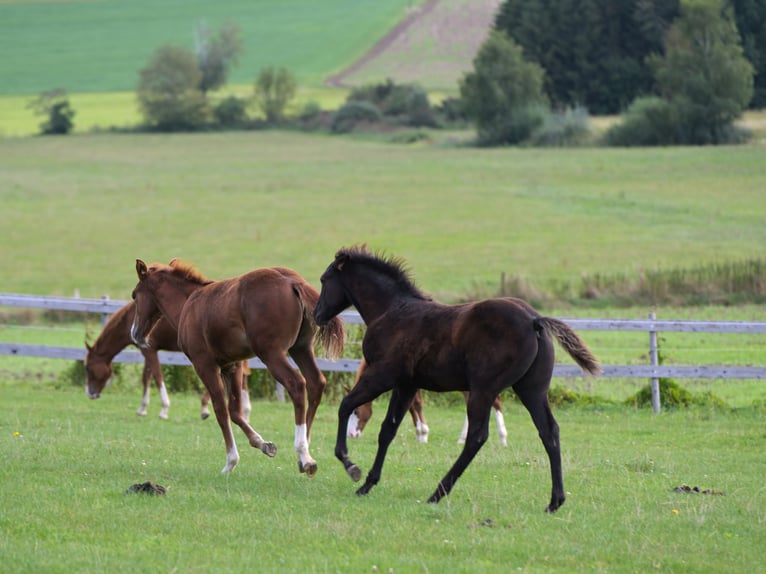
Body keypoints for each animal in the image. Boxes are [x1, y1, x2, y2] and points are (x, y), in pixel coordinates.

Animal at [84, 302, 252, 424]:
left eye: (88, 368)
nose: (90, 393)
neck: (131, 318)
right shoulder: (148, 351)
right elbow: (146, 377)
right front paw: (142, 408)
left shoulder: (149, 350)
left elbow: (157, 376)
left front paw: (164, 409)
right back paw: (245, 412)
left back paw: (206, 408)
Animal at [131, 260, 344, 476]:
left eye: (134, 295)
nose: (135, 333)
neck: (188, 304)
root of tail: (292, 281)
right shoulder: (231, 366)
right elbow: (235, 411)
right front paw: (264, 444)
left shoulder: (204, 364)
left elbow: (220, 410)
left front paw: (230, 461)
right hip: (301, 348)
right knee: (316, 382)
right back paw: (304, 452)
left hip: (271, 353)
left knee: (297, 384)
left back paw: (303, 454)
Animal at [316, 246, 604, 512]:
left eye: (324, 279)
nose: (317, 315)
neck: (392, 311)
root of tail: (535, 319)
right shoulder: (406, 385)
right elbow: (388, 430)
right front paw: (368, 483)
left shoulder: (382, 376)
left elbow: (345, 405)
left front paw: (350, 465)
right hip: (532, 390)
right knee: (549, 431)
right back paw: (555, 501)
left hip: (483, 390)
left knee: (477, 436)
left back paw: (437, 493)